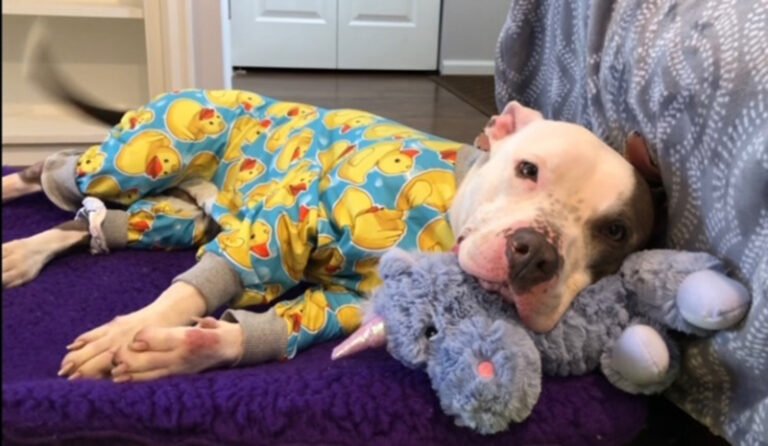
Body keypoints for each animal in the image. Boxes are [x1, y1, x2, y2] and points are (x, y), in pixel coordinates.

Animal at [3, 31, 656, 382]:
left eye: (615, 232)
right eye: (528, 170)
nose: (535, 253)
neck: (442, 217)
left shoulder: (350, 303)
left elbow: (283, 323)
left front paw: (188, 350)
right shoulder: (291, 218)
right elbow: (189, 291)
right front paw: (129, 330)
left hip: (176, 215)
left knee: (93, 221)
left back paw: (24, 253)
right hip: (143, 155)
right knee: (61, 169)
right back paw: (18, 188)